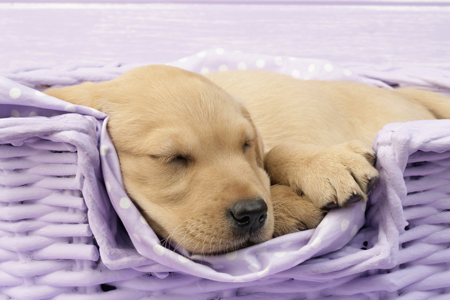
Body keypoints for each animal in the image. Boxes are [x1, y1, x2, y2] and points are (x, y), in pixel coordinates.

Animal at [44, 65, 450, 253]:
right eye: (171, 158)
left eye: (244, 145)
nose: (253, 213)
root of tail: (409, 97)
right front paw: (291, 206)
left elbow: (272, 153)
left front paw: (326, 163)